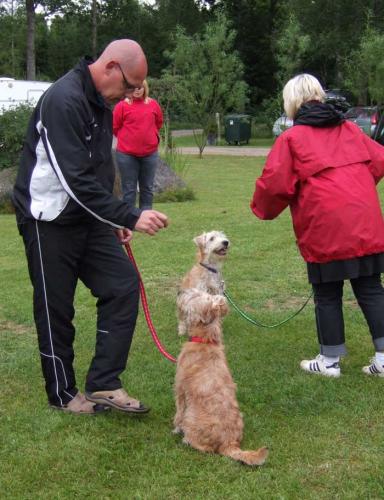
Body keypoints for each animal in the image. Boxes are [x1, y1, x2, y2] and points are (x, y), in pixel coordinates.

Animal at [173, 288, 268, 466]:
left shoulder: (180, 389)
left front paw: (175, 429)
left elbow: (179, 412)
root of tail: (229, 443)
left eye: (195, 295)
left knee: (205, 448)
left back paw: (187, 440)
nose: (180, 291)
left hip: (191, 418)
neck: (205, 340)